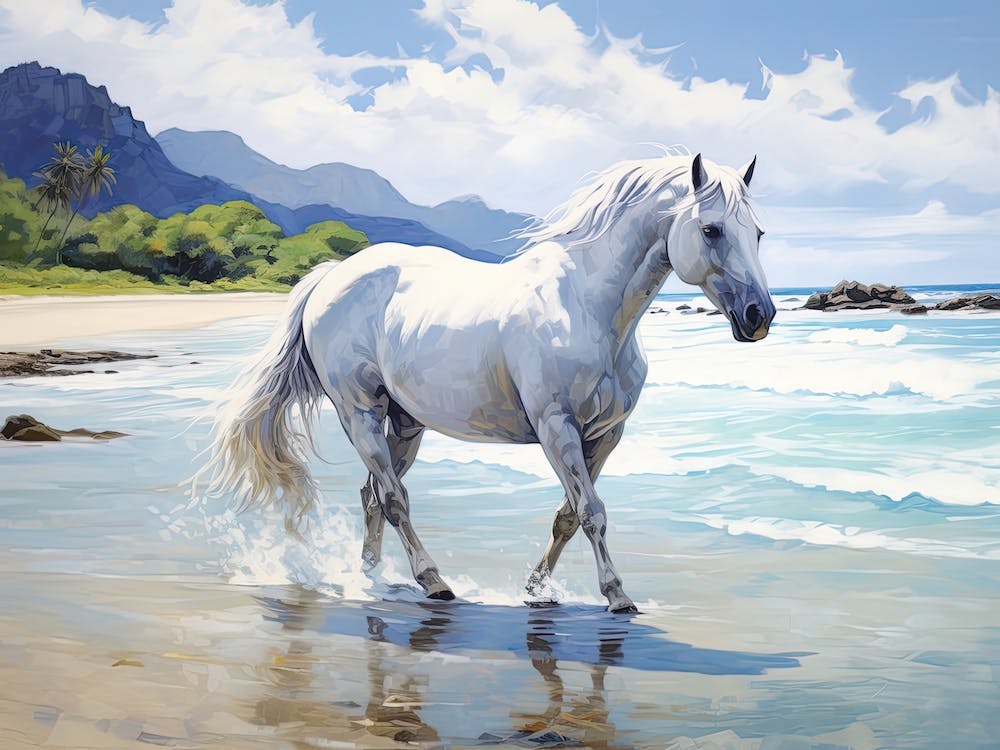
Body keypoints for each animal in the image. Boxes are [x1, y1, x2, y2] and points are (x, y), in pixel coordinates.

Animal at [201, 152, 775, 613]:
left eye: (758, 233)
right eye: (711, 230)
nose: (759, 316)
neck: (587, 307)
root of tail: (333, 274)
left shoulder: (605, 434)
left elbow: (568, 516)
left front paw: (537, 590)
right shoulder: (556, 428)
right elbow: (591, 511)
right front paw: (617, 595)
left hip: (405, 421)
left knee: (372, 496)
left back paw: (370, 578)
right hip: (359, 411)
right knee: (393, 498)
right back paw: (433, 582)